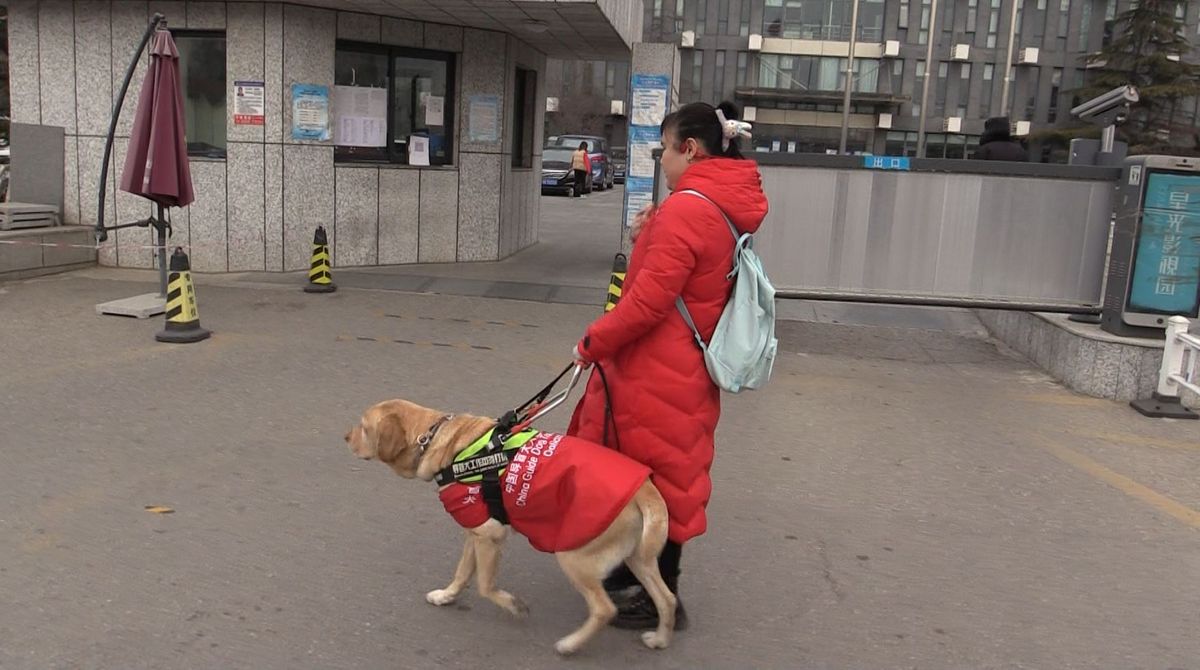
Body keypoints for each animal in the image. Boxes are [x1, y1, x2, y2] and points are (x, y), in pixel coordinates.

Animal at [345, 398, 676, 657]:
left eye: (363, 426)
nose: (345, 436)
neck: (440, 441)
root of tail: (643, 488)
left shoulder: (489, 535)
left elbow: (485, 585)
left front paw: (514, 606)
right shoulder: (475, 532)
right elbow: (462, 573)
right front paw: (447, 596)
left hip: (573, 555)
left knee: (604, 609)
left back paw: (570, 645)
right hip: (637, 558)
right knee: (667, 598)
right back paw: (660, 639)